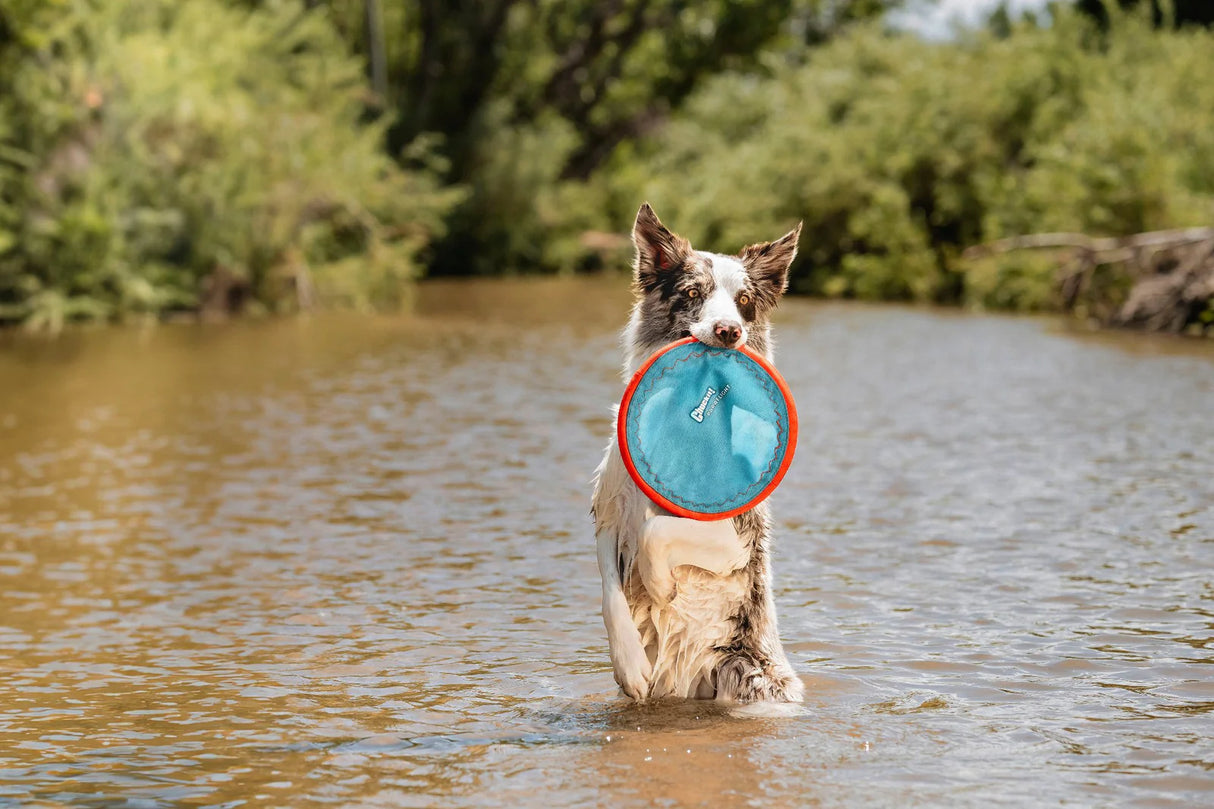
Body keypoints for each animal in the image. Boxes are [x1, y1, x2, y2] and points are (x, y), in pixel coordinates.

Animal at [590, 202, 806, 699]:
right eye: (692, 292)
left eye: (744, 301)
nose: (729, 331)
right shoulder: (610, 514)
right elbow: (610, 589)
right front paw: (629, 663)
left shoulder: (733, 542)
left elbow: (657, 532)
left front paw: (660, 585)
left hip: (749, 679)